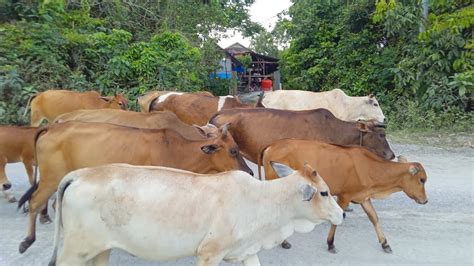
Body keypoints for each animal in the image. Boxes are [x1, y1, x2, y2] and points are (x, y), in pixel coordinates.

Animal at [17, 120, 252, 254]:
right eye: (233, 150)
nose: (249, 172)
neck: (176, 150)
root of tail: (49, 127)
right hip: (50, 178)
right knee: (35, 202)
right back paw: (27, 241)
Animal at [48, 162, 342, 266]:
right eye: (324, 193)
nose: (342, 215)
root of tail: (79, 174)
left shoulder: (248, 252)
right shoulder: (209, 254)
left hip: (100, 250)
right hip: (74, 252)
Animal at [260, 139, 430, 254]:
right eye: (422, 180)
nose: (425, 200)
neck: (369, 167)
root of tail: (271, 146)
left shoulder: (364, 198)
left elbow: (374, 218)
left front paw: (385, 243)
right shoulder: (344, 196)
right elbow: (337, 220)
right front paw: (330, 244)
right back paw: (283, 241)